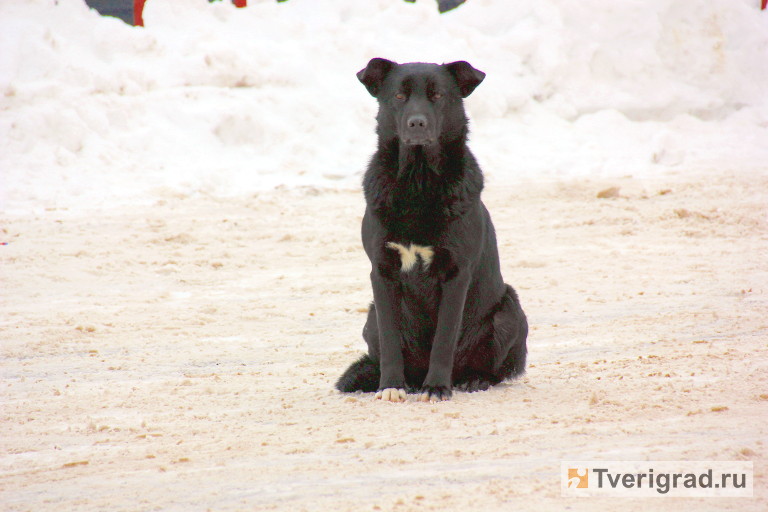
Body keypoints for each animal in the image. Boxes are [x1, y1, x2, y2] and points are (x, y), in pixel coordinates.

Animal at [336, 60, 528, 402]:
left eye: (437, 95)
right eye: (399, 96)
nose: (417, 124)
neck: (418, 180)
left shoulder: (455, 273)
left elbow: (444, 339)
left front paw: (437, 387)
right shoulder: (382, 272)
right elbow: (390, 340)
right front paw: (391, 386)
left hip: (510, 310)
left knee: (491, 368)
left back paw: (472, 379)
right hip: (370, 317)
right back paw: (410, 382)